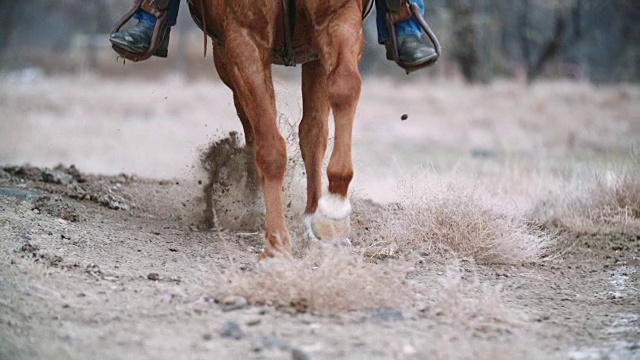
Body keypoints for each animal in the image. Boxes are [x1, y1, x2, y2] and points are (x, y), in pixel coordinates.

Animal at [180, 0, 376, 258]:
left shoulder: (337, 13)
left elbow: (346, 86)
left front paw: (333, 209)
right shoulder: (244, 38)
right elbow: (270, 146)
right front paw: (276, 243)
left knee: (313, 130)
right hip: (226, 56)